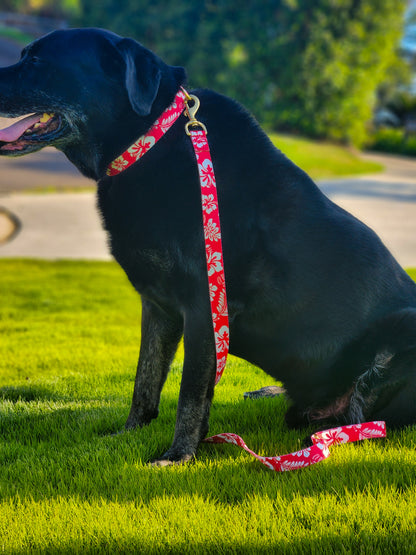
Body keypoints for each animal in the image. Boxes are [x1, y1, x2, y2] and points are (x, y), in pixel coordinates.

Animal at [0, 29, 416, 464]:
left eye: (36, 60)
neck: (150, 143)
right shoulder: (159, 307)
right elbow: (145, 380)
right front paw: (129, 434)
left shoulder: (205, 305)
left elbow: (192, 391)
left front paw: (178, 456)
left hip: (403, 332)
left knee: (365, 418)